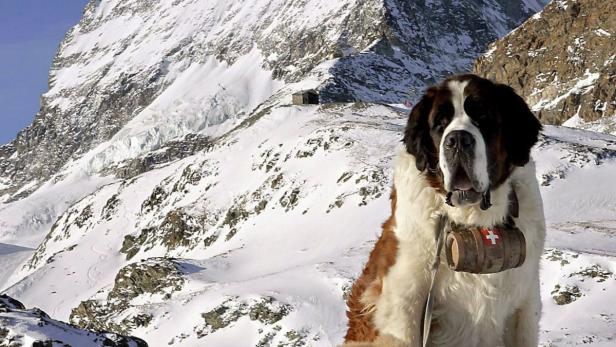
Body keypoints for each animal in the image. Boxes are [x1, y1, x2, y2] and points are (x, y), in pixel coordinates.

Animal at [344, 74, 548, 347]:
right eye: (440, 124)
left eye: (483, 118)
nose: (458, 139)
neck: (471, 218)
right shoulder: (402, 297)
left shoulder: (525, 298)